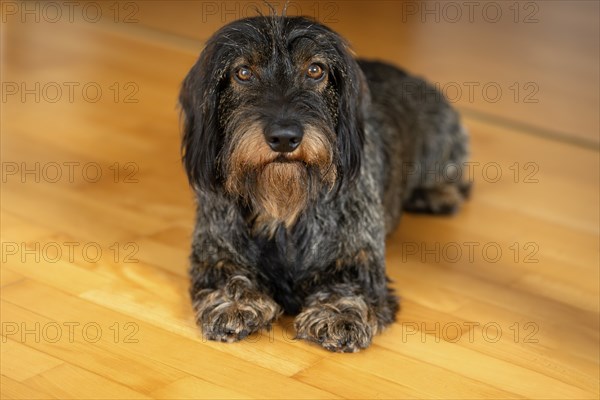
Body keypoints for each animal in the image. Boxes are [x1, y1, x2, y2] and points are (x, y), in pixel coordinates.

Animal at [178, 14, 468, 354]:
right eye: (243, 72)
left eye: (315, 70)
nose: (285, 137)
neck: (284, 209)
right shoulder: (214, 254)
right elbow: (228, 275)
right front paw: (235, 302)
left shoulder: (359, 258)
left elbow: (349, 284)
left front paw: (337, 313)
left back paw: (437, 193)